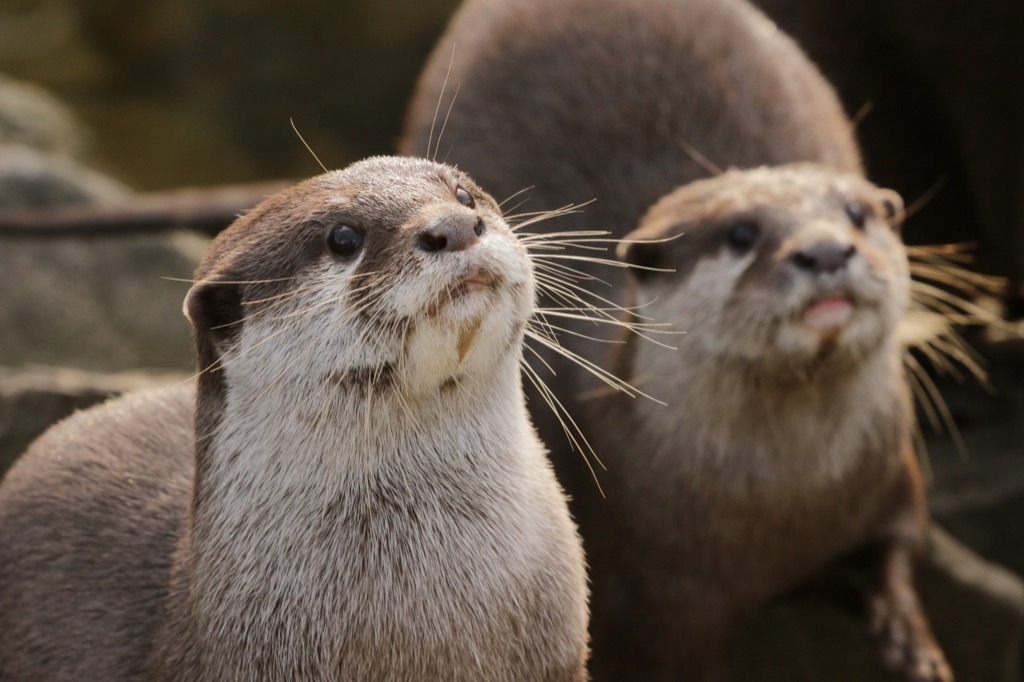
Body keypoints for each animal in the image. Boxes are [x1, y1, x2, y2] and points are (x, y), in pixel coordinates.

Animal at [401, 0, 951, 679]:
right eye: (741, 234)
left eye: (857, 214)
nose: (825, 251)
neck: (783, 512)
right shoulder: (648, 602)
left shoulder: (891, 475)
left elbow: (899, 547)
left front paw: (912, 642)